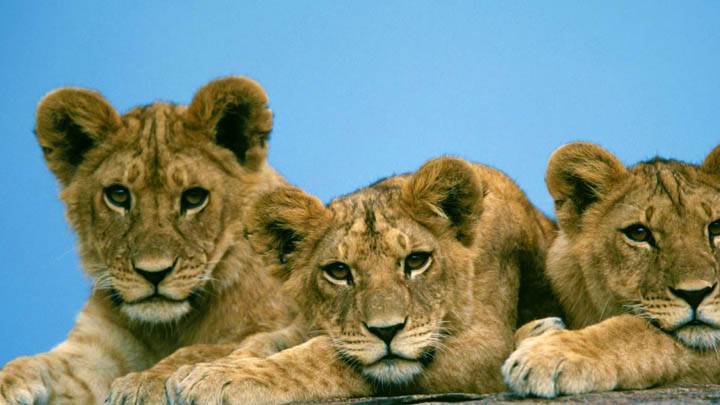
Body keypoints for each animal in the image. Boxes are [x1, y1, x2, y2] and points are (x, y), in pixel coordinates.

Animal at [0, 77, 296, 404]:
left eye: (194, 198)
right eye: (118, 195)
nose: (154, 273)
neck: (168, 328)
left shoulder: (283, 324)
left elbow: (201, 351)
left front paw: (144, 381)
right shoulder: (95, 349)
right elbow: (39, 362)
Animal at [159, 156, 557, 404]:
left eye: (416, 261)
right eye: (339, 271)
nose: (387, 331)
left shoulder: (486, 344)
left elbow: (323, 357)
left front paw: (223, 378)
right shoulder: (307, 323)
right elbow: (261, 342)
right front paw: (206, 369)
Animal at [503, 142, 720, 398]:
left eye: (717, 227)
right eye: (638, 233)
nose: (696, 293)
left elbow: (640, 333)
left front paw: (548, 355)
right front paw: (537, 331)